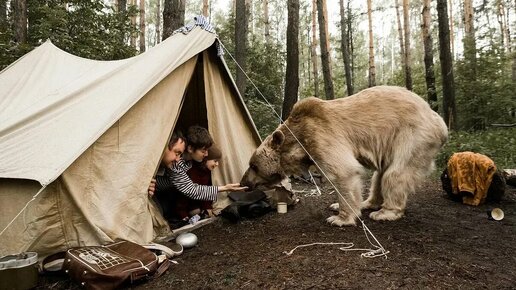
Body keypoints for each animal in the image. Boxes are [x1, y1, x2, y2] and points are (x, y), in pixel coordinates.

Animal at [242, 86, 448, 227]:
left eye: (253, 165)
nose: (244, 182)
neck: (298, 139)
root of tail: (440, 121)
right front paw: (336, 207)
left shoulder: (321, 136)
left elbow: (343, 172)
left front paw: (339, 218)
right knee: (379, 175)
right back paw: (367, 203)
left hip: (412, 136)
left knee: (396, 173)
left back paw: (384, 213)